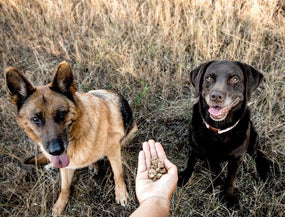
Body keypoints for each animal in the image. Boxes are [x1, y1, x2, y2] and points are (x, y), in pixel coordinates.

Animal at [5, 61, 137, 215]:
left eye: (61, 114)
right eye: (35, 119)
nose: (56, 150)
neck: (78, 136)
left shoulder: (114, 150)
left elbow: (118, 174)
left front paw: (121, 194)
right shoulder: (65, 165)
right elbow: (64, 187)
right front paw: (59, 205)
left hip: (129, 134)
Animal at [179, 59, 270, 203]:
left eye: (235, 79)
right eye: (209, 77)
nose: (216, 96)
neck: (219, 128)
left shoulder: (236, 159)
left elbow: (230, 179)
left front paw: (228, 196)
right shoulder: (194, 147)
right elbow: (191, 163)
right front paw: (184, 177)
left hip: (254, 135)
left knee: (255, 154)